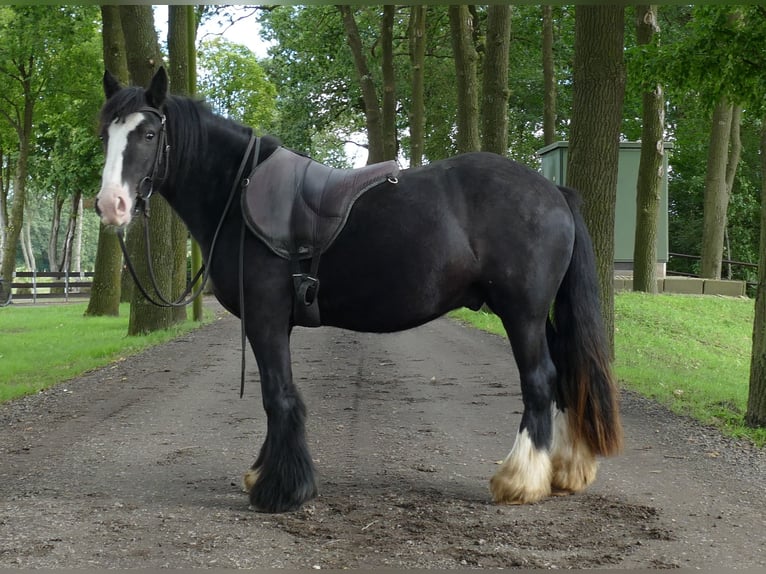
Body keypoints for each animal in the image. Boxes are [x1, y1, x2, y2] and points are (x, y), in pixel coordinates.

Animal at [95, 67, 622, 514]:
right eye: (106, 134)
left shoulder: (265, 316)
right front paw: (266, 475)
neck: (237, 190)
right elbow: (278, 392)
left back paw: (521, 479)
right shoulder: (273, 321)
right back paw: (566, 470)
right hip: (540, 314)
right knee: (567, 373)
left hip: (522, 313)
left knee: (539, 380)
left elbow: (277, 394)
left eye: (148, 134)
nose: (111, 204)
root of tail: (555, 192)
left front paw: (280, 490)